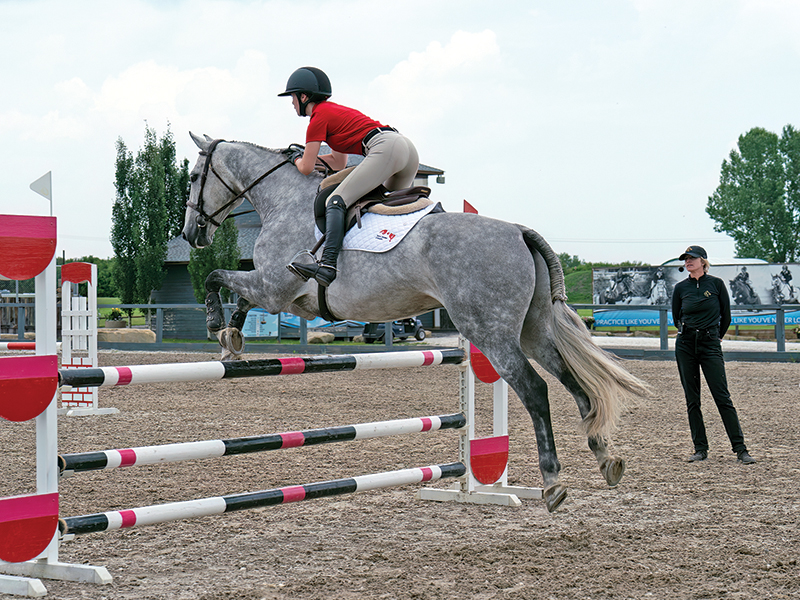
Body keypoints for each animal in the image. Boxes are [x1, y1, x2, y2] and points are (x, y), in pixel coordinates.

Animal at [181, 133, 650, 512]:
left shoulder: (275, 287)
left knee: (535, 388)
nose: (191, 234)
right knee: (573, 380)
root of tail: (518, 231)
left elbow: (217, 276)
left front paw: (216, 325)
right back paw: (606, 457)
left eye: (194, 176)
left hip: (490, 331)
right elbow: (239, 296)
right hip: (532, 329)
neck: (283, 199)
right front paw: (231, 335)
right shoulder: (284, 296)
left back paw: (552, 482)